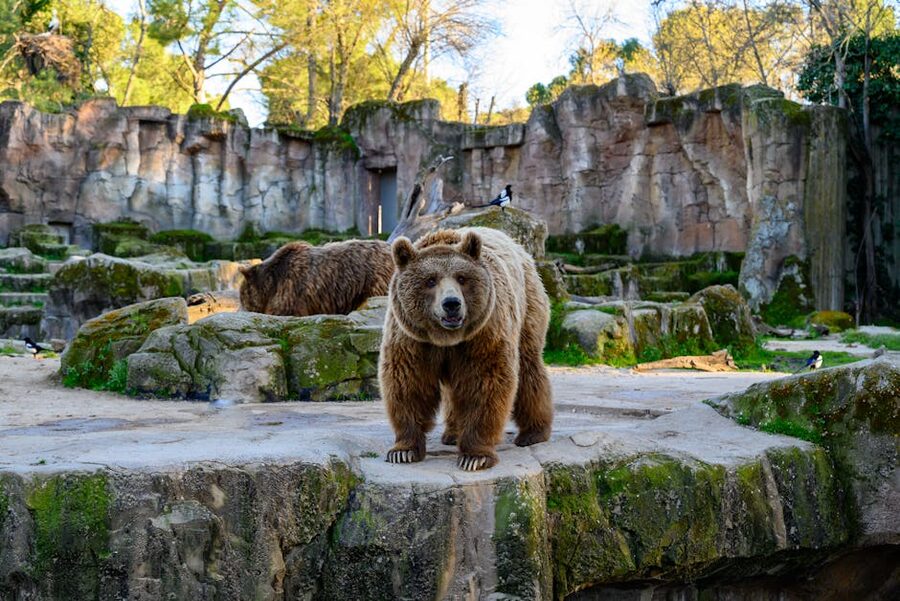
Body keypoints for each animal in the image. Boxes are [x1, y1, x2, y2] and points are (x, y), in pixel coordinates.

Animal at [379, 226, 553, 471]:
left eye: (462, 278)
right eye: (430, 280)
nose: (451, 303)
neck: (447, 339)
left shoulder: (484, 333)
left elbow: (485, 384)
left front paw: (474, 456)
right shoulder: (412, 339)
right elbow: (408, 383)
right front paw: (403, 450)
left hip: (527, 306)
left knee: (529, 368)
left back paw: (533, 433)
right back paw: (452, 433)